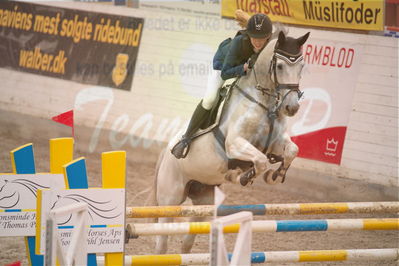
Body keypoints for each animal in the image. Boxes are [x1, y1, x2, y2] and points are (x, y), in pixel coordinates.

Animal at [152, 30, 310, 254]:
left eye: (301, 66)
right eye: (280, 66)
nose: (292, 108)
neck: (263, 103)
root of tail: (166, 151)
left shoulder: (275, 142)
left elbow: (291, 151)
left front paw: (275, 175)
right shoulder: (234, 144)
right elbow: (260, 161)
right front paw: (243, 177)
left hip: (203, 198)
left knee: (186, 243)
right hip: (170, 199)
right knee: (162, 242)